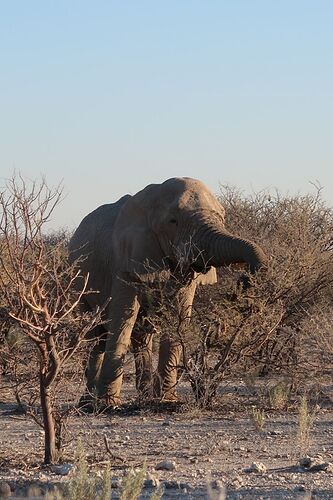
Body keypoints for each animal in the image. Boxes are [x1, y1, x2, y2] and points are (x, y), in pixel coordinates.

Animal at [68, 176, 266, 406]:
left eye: (222, 216)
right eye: (173, 222)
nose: (243, 280)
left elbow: (178, 314)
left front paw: (167, 400)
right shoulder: (124, 260)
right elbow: (123, 318)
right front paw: (109, 405)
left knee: (141, 335)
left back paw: (144, 398)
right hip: (78, 283)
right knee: (96, 336)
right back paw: (88, 404)